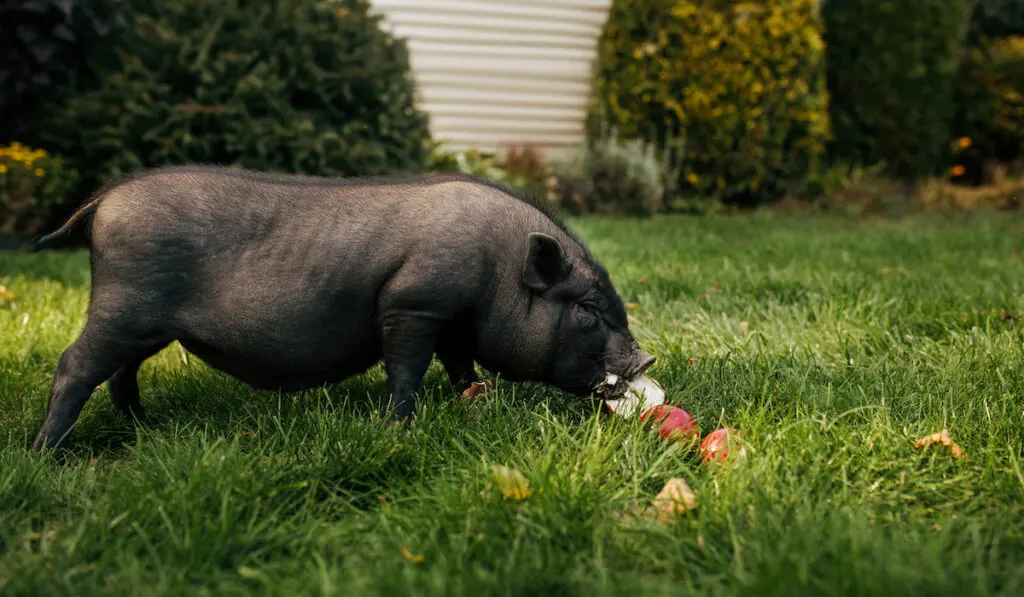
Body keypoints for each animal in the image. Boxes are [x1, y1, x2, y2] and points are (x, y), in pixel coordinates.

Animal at [32, 165, 659, 450]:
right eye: (587, 310)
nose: (646, 360)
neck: (498, 268)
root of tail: (104, 200)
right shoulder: (414, 305)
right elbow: (406, 372)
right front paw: (399, 429)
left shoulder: (453, 322)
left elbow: (461, 365)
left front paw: (475, 403)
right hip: (123, 304)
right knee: (75, 365)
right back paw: (47, 453)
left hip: (145, 323)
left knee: (121, 373)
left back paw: (147, 426)